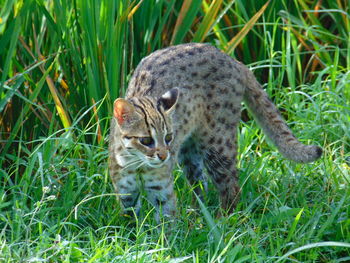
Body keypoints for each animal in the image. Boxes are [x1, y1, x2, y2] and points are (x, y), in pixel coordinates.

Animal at [108, 42, 322, 222]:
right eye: (145, 140)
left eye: (169, 137)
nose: (163, 156)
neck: (137, 164)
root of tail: (232, 60)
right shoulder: (126, 193)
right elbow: (131, 221)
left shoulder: (162, 190)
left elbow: (166, 222)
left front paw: (165, 240)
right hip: (189, 152)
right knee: (201, 183)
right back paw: (197, 215)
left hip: (217, 143)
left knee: (231, 186)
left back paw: (222, 221)